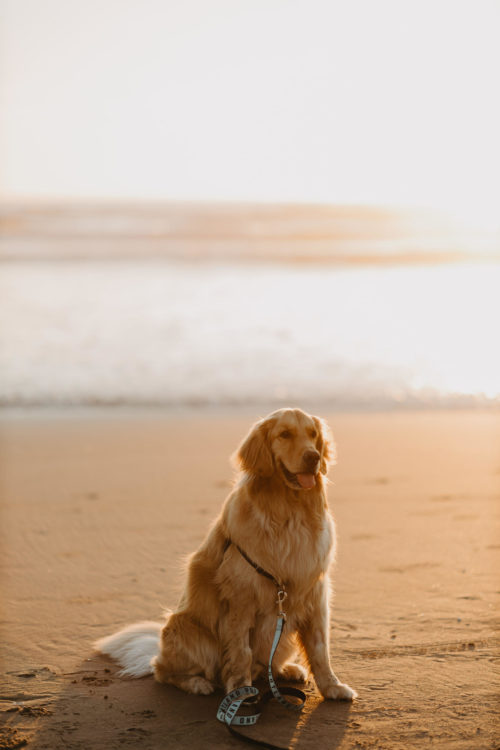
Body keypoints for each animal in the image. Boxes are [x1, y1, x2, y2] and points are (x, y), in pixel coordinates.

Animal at [94, 408, 356, 704]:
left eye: (312, 435)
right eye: (285, 434)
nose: (313, 457)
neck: (289, 512)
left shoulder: (315, 593)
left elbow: (320, 649)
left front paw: (332, 686)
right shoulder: (241, 598)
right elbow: (241, 652)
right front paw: (241, 691)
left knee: (267, 664)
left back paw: (288, 669)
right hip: (187, 631)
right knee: (164, 671)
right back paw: (198, 683)